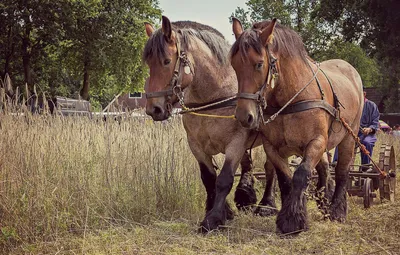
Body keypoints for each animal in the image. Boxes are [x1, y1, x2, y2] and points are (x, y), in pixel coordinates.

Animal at [144, 15, 284, 231]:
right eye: (149, 64)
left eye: (166, 61)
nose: (154, 109)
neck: (215, 96)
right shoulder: (196, 145)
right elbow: (209, 179)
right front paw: (221, 211)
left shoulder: (236, 142)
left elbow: (224, 179)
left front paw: (215, 218)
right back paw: (246, 196)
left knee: (270, 168)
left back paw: (266, 205)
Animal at [230, 18, 364, 234]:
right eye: (234, 65)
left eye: (259, 64)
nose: (244, 117)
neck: (291, 98)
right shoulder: (273, 147)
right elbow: (285, 179)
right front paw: (287, 214)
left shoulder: (316, 141)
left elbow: (301, 174)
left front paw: (293, 220)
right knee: (325, 169)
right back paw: (324, 200)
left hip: (349, 136)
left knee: (342, 171)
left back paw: (337, 210)